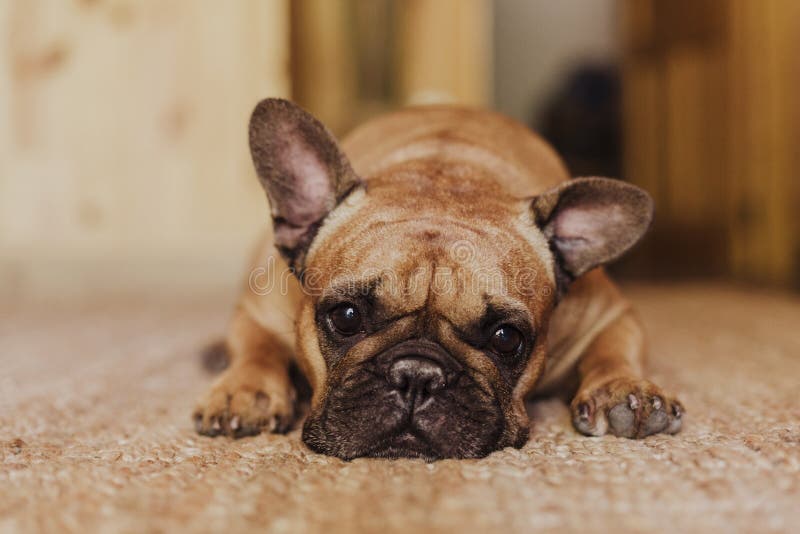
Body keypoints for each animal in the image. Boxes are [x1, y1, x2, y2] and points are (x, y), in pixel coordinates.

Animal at [192, 99, 680, 460]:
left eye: (507, 338)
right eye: (346, 316)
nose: (417, 375)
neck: (445, 172)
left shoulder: (609, 313)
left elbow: (614, 348)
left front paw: (624, 390)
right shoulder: (260, 309)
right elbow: (257, 347)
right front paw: (244, 391)